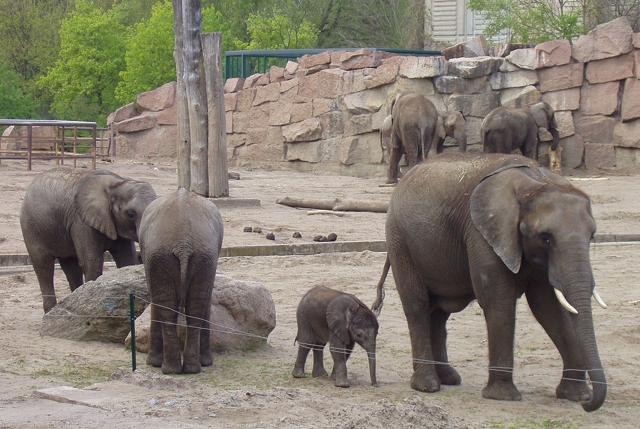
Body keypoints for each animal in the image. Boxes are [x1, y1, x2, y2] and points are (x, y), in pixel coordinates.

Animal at [21, 167, 156, 310]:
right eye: (131, 214)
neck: (118, 183)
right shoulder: (81, 221)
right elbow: (92, 262)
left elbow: (127, 260)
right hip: (32, 228)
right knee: (44, 267)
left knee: (71, 267)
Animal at [139, 186, 224, 372]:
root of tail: (183, 244)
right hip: (196, 256)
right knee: (194, 305)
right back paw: (187, 369)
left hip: (166, 255)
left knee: (173, 306)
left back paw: (172, 368)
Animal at [376, 153, 608, 412]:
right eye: (546, 238)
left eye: (592, 236)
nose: (588, 405)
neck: (535, 181)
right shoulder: (481, 233)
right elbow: (498, 300)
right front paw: (503, 397)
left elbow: (548, 307)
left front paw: (574, 395)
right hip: (400, 241)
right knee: (417, 305)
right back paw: (427, 386)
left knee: (438, 313)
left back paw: (449, 379)